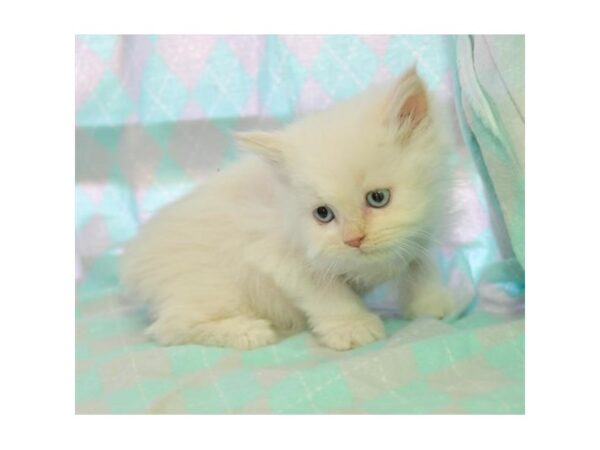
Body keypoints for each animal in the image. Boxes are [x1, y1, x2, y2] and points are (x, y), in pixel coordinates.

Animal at [120, 67, 454, 350]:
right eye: (323, 214)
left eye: (378, 198)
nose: (353, 240)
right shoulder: (278, 256)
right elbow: (327, 293)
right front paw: (351, 327)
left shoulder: (422, 232)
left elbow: (421, 267)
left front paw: (432, 306)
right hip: (211, 288)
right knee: (170, 327)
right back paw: (250, 331)